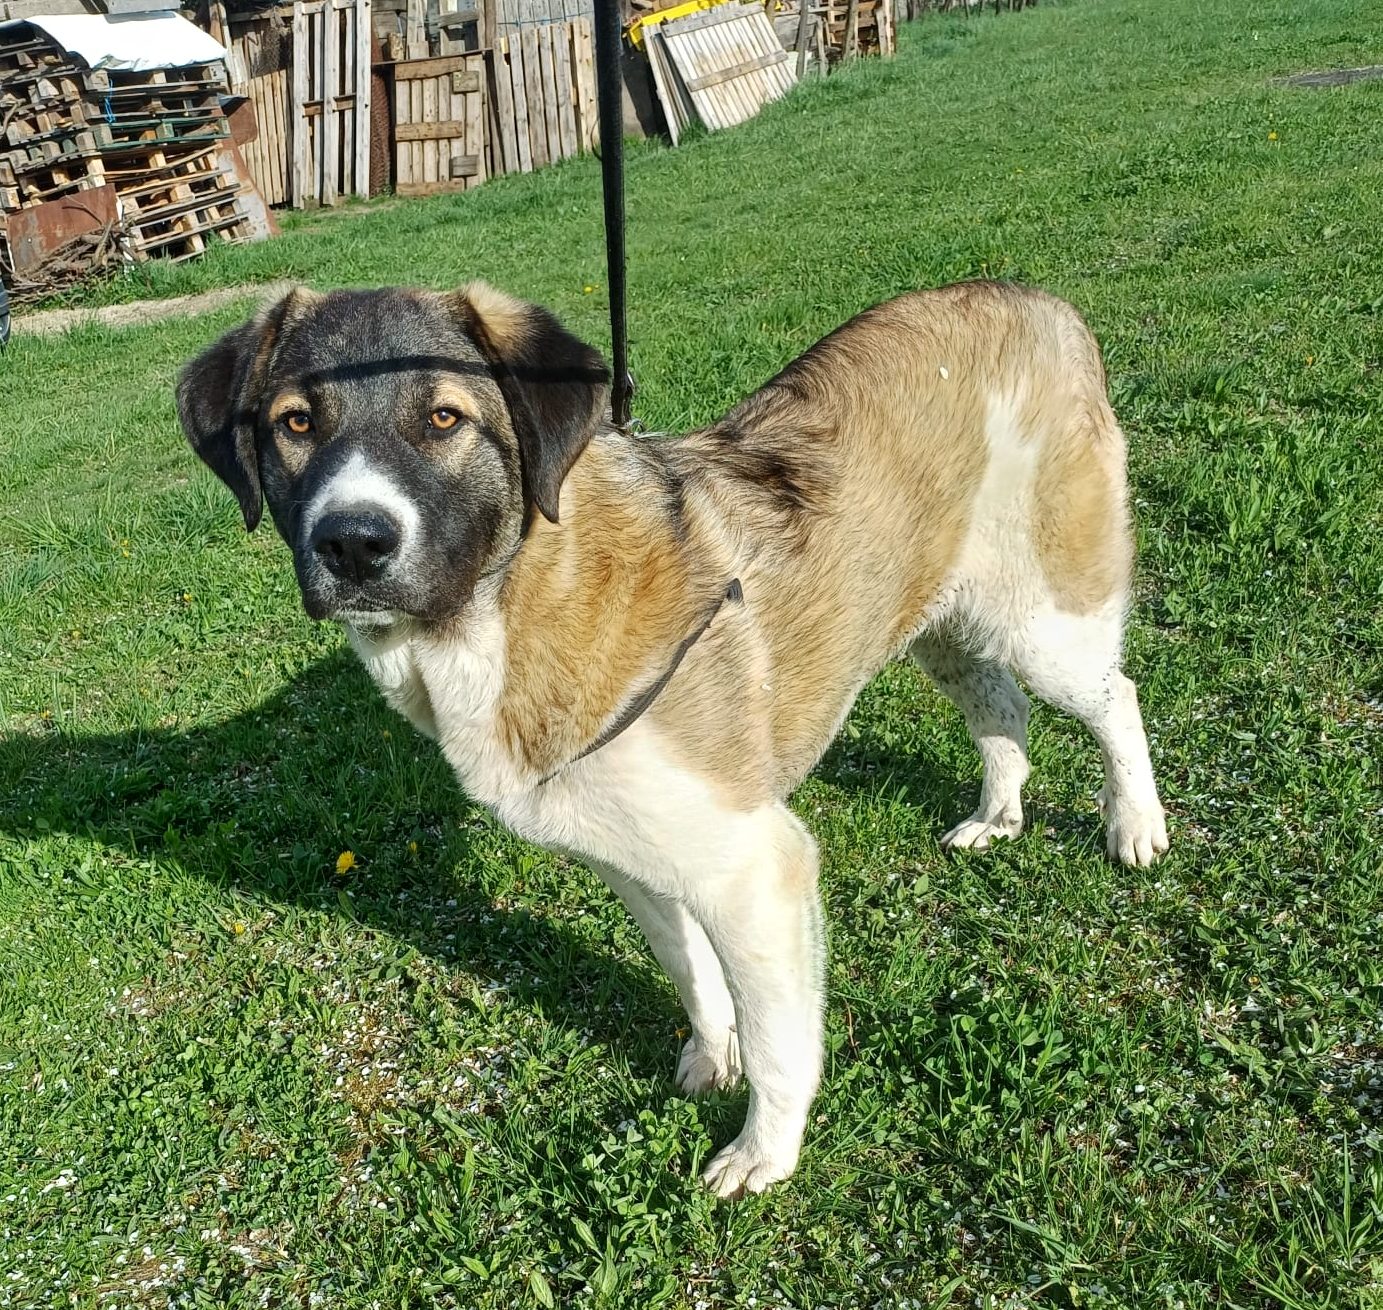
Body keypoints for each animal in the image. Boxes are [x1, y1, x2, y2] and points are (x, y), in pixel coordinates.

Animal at [177, 279, 1168, 1198]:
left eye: (444, 418)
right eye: (295, 423)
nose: (352, 543)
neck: (515, 603)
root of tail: (1030, 299)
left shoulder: (757, 869)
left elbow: (778, 1040)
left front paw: (764, 1152)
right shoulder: (635, 862)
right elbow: (691, 971)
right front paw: (709, 1057)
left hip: (1045, 620)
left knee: (1113, 696)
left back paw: (1134, 826)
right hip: (937, 620)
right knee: (999, 706)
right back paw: (997, 814)